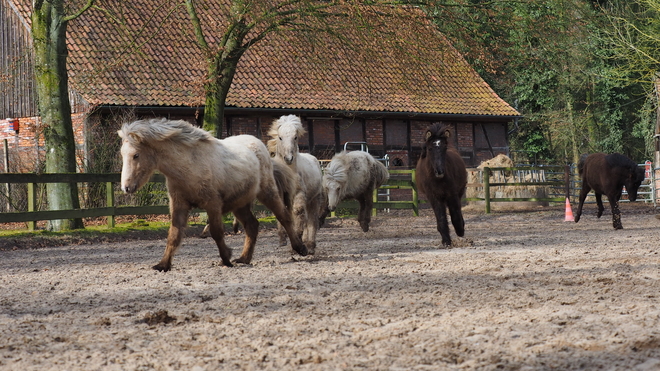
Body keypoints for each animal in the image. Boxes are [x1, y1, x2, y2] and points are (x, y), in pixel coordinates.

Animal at [117, 117, 308, 272]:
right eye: (122, 155)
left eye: (136, 155)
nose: (126, 187)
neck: (188, 165)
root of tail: (259, 146)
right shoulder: (179, 205)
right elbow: (174, 235)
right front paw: (163, 265)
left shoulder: (213, 204)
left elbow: (216, 232)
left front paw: (226, 258)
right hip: (240, 204)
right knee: (252, 225)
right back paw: (244, 258)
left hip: (268, 193)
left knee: (284, 217)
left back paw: (300, 248)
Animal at [266, 115, 322, 254]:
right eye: (280, 137)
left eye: (295, 137)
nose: (288, 159)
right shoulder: (280, 194)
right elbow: (281, 213)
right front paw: (282, 240)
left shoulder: (299, 193)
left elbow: (298, 212)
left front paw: (297, 241)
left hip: (314, 198)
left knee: (311, 218)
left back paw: (310, 245)